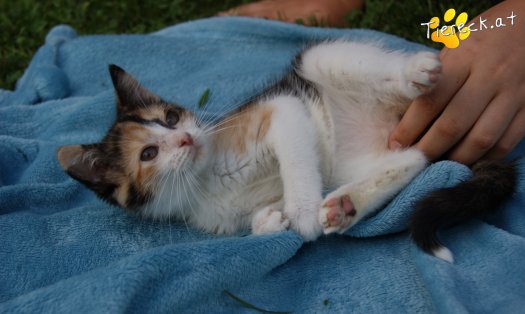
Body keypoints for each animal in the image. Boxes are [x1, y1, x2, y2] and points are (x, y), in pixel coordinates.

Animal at [57, 41, 516, 262]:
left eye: (171, 117)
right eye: (149, 155)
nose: (187, 138)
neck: (204, 179)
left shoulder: (282, 108)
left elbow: (295, 156)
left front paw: (301, 211)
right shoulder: (221, 217)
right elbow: (251, 222)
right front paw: (270, 222)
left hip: (319, 61)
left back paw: (413, 71)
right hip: (375, 155)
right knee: (416, 157)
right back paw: (345, 205)